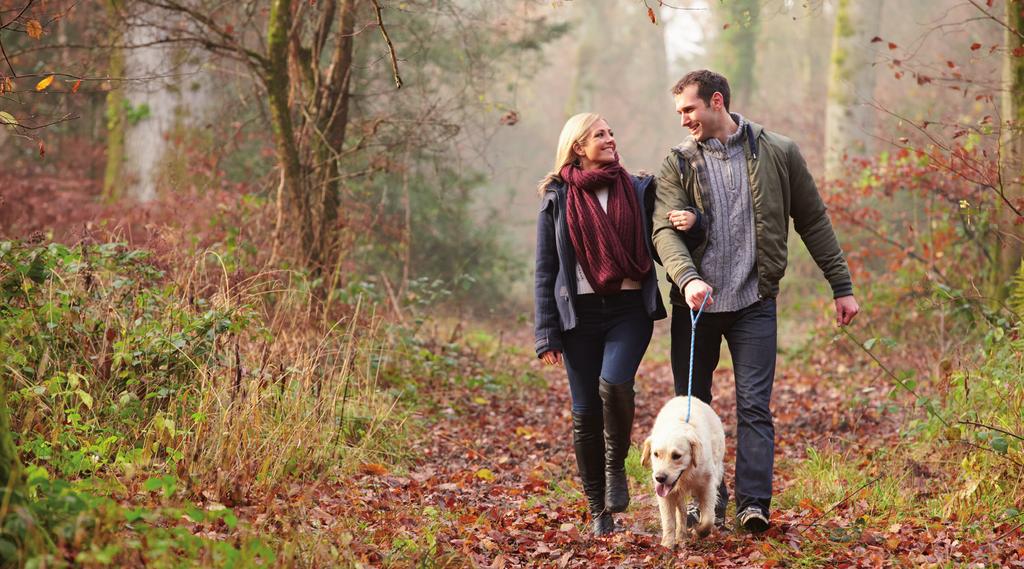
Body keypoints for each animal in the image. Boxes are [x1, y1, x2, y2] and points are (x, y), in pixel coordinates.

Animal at [643, 395, 724, 548]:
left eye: (676, 456)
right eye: (655, 454)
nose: (660, 478)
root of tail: (687, 396)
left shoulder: (708, 485)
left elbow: (708, 519)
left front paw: (699, 531)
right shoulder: (665, 493)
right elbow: (668, 520)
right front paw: (667, 545)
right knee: (681, 511)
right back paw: (681, 536)